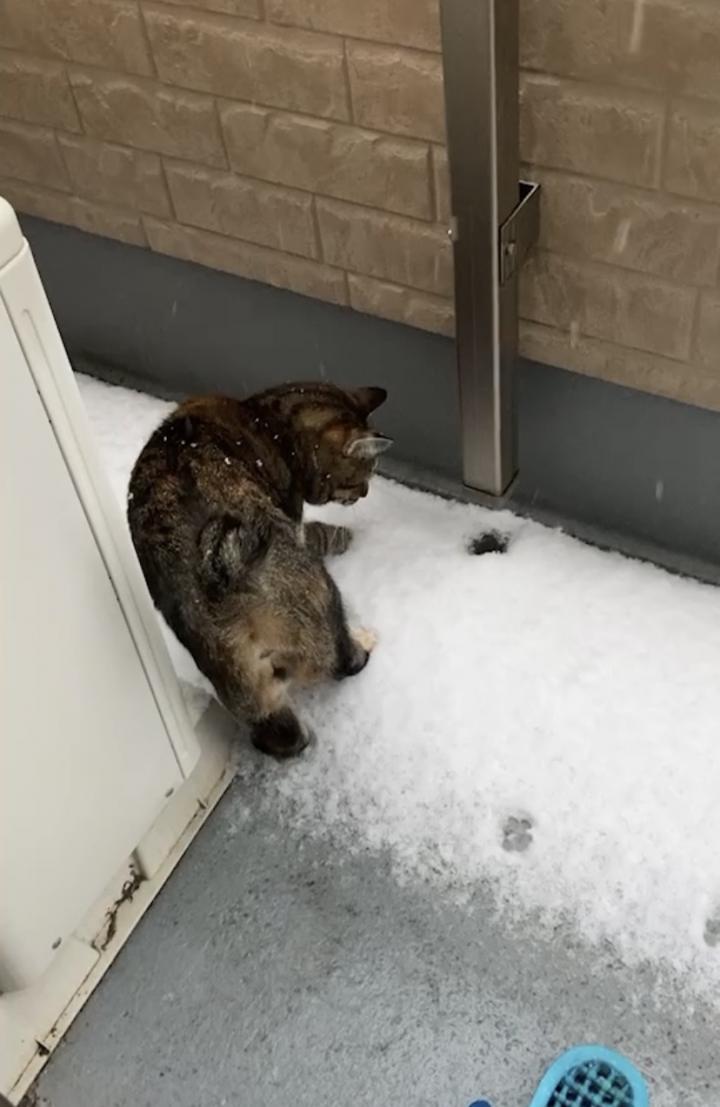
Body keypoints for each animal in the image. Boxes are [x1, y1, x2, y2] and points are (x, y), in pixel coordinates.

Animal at [127, 381, 391, 757]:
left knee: (279, 735)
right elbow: (317, 532)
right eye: (361, 478)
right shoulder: (294, 518)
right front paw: (343, 535)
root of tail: (220, 562)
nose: (366, 492)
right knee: (342, 661)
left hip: (233, 673)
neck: (269, 419)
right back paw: (362, 642)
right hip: (319, 594)